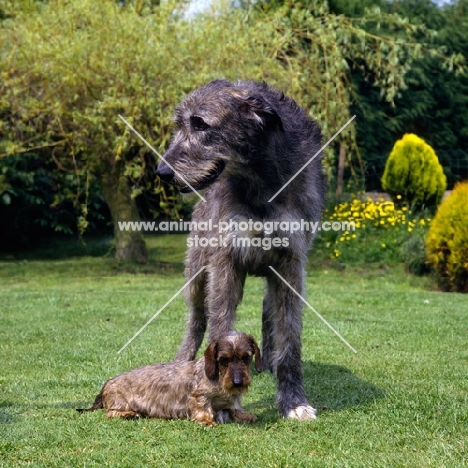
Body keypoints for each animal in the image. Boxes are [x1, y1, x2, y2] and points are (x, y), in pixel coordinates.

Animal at [78, 330, 262, 426]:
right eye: (224, 359)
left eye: (246, 357)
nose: (238, 382)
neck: (219, 379)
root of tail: (108, 383)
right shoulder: (199, 396)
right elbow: (202, 407)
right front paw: (207, 421)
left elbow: (234, 408)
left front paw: (245, 415)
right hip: (120, 403)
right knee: (110, 413)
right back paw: (130, 414)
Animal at [157, 78, 326, 418]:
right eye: (179, 125)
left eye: (200, 124)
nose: (162, 172)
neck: (261, 179)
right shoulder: (225, 261)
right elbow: (219, 323)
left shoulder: (291, 263)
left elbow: (290, 337)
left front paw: (294, 402)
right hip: (196, 271)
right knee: (196, 319)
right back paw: (182, 361)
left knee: (267, 310)